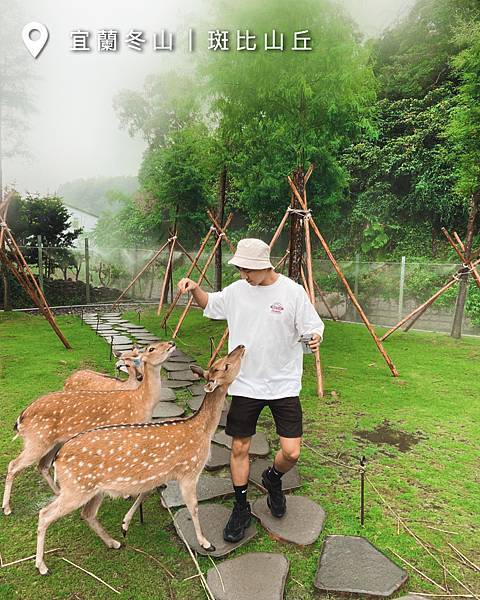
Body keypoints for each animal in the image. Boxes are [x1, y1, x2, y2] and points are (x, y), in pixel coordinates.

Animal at [2, 342, 175, 516]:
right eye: (151, 349)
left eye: (139, 358)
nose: (172, 343)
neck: (141, 403)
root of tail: (21, 417)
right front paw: (126, 494)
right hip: (36, 440)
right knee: (13, 464)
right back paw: (7, 508)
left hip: (53, 442)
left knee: (42, 465)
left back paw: (58, 492)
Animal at [34, 344, 244, 576]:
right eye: (225, 365)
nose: (241, 346)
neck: (202, 432)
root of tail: (59, 457)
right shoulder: (190, 470)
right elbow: (194, 507)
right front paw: (206, 543)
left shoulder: (162, 471)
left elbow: (146, 492)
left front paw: (125, 524)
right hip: (76, 488)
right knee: (45, 513)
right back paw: (42, 566)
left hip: (93, 489)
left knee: (86, 513)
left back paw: (113, 542)